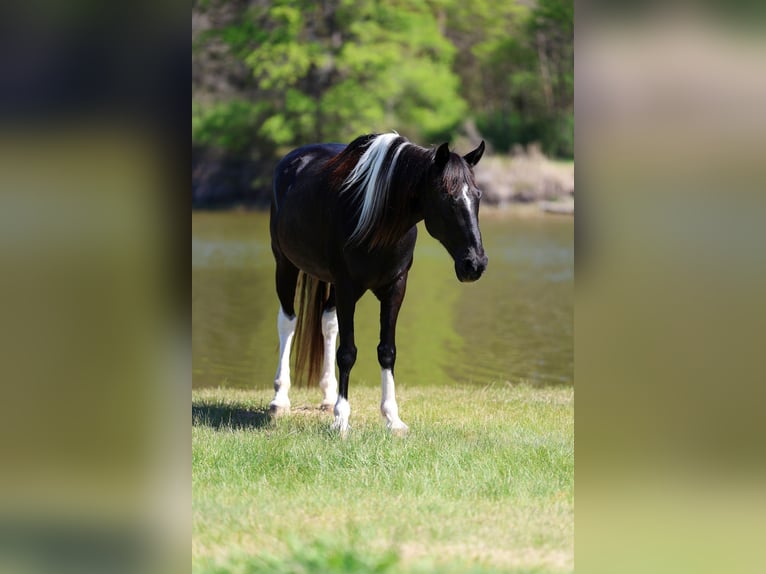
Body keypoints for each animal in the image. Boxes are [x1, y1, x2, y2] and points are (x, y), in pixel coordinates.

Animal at [269, 132, 487, 435]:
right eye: (447, 195)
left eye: (477, 196)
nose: (474, 264)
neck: (377, 221)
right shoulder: (347, 287)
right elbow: (347, 353)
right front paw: (342, 419)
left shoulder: (395, 288)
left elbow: (387, 351)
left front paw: (392, 418)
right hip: (286, 266)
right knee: (288, 322)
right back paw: (280, 399)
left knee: (328, 323)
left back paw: (328, 396)